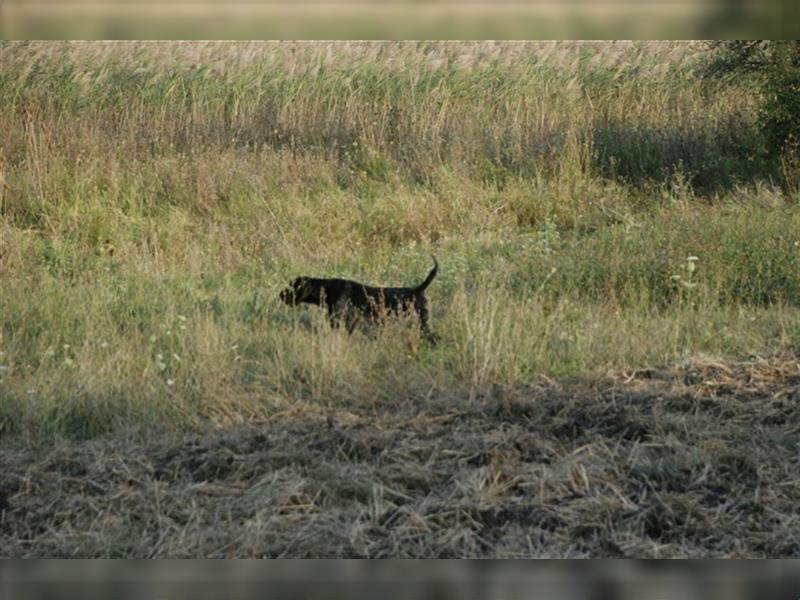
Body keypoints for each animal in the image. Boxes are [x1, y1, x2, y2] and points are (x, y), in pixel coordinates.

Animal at [282, 255, 440, 344]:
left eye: (291, 286)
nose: (280, 294)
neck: (326, 288)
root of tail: (418, 289)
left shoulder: (337, 320)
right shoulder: (350, 322)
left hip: (421, 322)